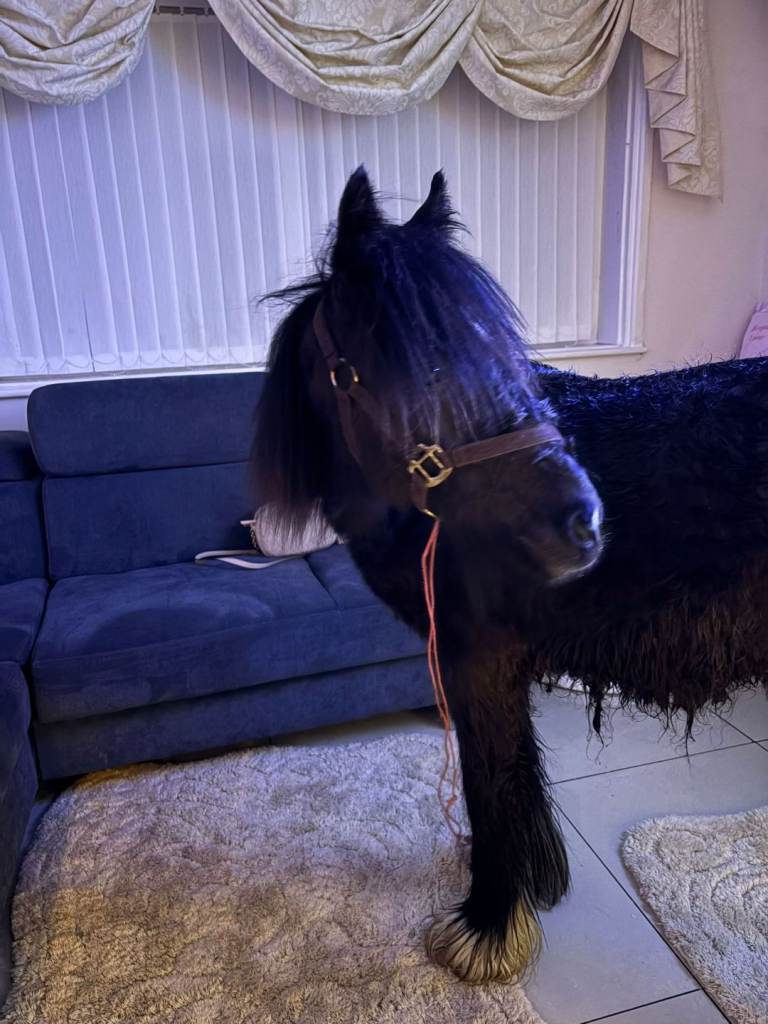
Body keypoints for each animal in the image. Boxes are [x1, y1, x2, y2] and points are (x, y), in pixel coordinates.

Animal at [250, 166, 768, 984]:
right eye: (419, 366)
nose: (583, 526)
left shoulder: (479, 657)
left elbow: (489, 778)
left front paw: (486, 926)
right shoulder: (494, 660)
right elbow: (512, 771)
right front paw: (531, 888)